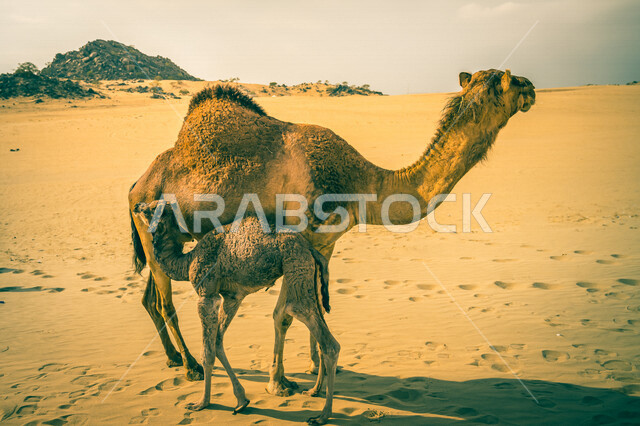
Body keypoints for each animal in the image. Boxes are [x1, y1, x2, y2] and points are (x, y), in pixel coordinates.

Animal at [128, 69, 535, 388]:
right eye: (506, 81)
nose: (531, 87)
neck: (364, 184)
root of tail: (137, 185)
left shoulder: (325, 244)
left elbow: (310, 308)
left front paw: (315, 368)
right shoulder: (298, 236)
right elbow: (286, 313)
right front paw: (283, 380)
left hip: (165, 235)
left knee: (149, 296)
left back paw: (173, 358)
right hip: (150, 223)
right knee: (165, 302)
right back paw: (192, 367)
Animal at [134, 201, 338, 425]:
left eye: (150, 209)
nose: (137, 206)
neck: (187, 261)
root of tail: (309, 248)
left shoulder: (207, 295)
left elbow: (207, 351)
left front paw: (202, 403)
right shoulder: (232, 297)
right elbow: (217, 342)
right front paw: (241, 400)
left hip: (296, 267)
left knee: (319, 332)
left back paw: (323, 415)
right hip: (309, 276)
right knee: (319, 325)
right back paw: (313, 391)